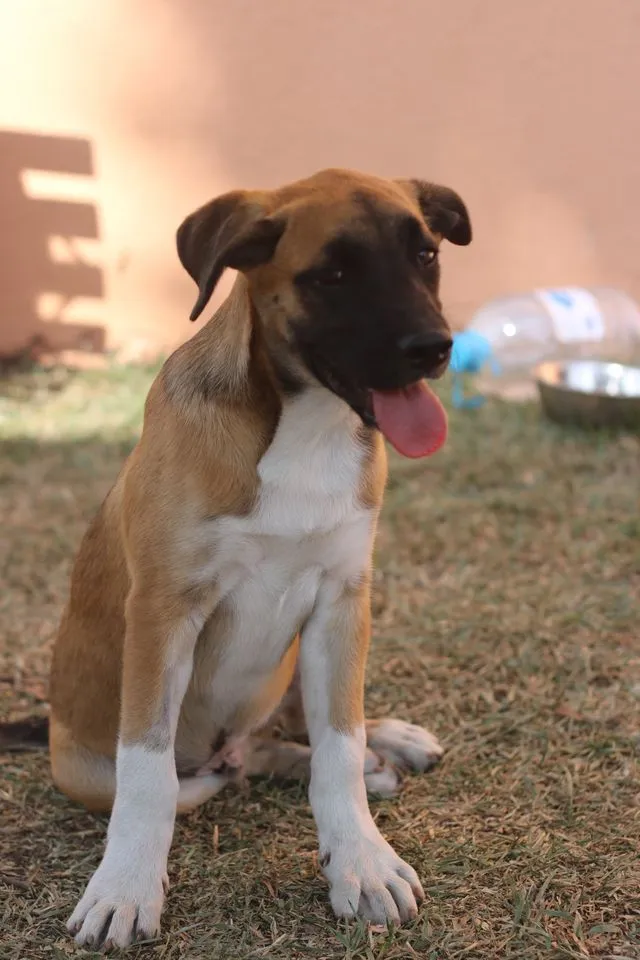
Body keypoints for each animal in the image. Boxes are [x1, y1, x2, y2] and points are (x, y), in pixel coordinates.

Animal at [42, 169, 470, 948]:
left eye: (426, 255)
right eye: (332, 275)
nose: (434, 347)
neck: (302, 424)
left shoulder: (342, 599)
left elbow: (337, 741)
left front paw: (360, 858)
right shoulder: (164, 611)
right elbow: (146, 772)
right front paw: (125, 888)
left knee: (298, 731)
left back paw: (382, 744)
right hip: (86, 769)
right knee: (205, 774)